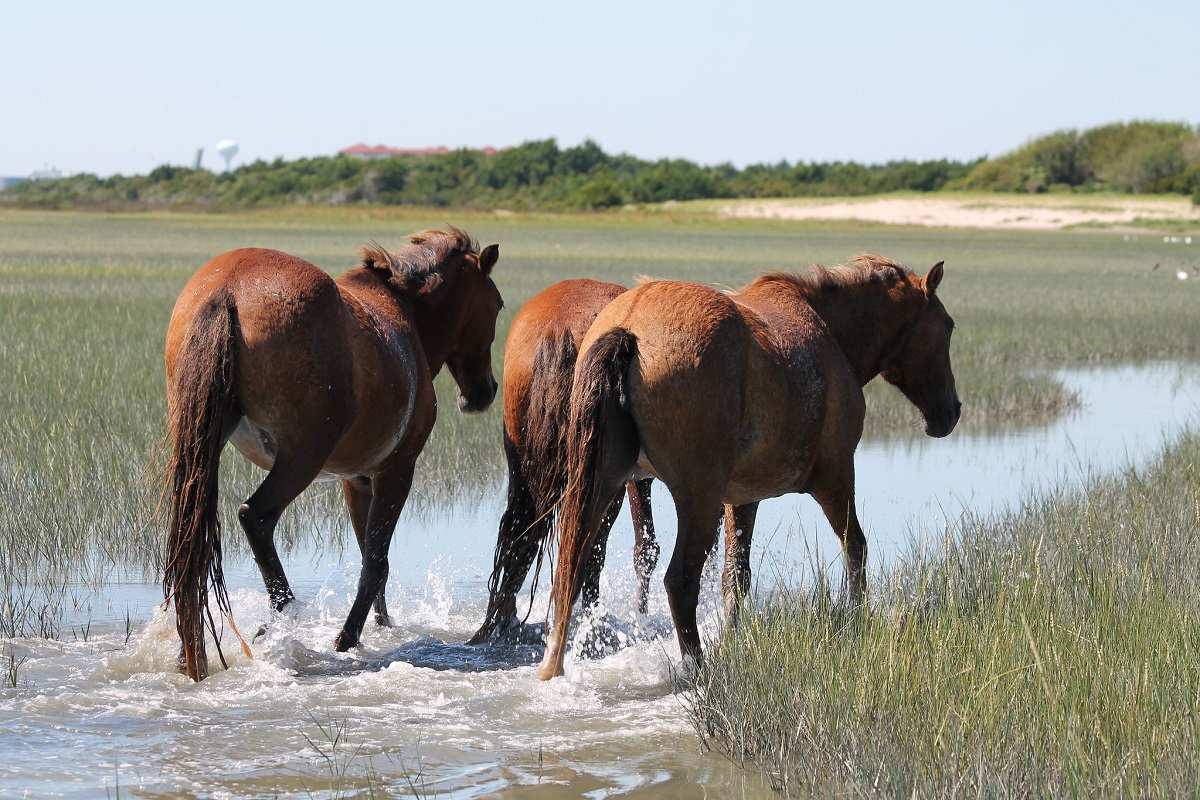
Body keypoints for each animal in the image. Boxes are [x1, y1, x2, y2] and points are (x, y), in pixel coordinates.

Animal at [165, 225, 501, 681]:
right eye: (498, 306)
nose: (484, 393)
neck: (406, 315)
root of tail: (227, 289)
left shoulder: (355, 479)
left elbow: (371, 556)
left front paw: (382, 624)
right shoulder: (397, 470)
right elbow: (376, 560)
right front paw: (349, 637)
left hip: (203, 447)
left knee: (190, 539)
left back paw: (191, 650)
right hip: (303, 457)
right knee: (256, 516)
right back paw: (282, 620)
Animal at [468, 280, 662, 642]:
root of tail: (560, 325)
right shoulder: (636, 479)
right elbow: (645, 549)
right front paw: (640, 619)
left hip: (522, 467)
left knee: (519, 535)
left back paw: (501, 621)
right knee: (588, 549)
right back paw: (591, 623)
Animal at [540, 253, 960, 681]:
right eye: (948, 326)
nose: (950, 412)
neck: (833, 335)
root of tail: (627, 329)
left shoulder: (742, 497)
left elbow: (735, 578)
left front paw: (734, 638)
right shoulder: (837, 475)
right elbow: (855, 549)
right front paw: (858, 618)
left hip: (603, 486)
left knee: (573, 570)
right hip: (697, 498)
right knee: (680, 581)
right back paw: (699, 667)